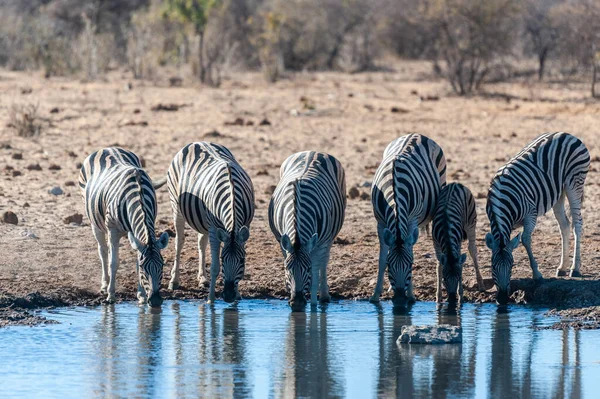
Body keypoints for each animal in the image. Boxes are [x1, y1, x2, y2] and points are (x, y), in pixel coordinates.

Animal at [78, 148, 170, 308]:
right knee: (103, 251)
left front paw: (141, 295)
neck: (138, 196)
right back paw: (104, 285)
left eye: (162, 265)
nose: (156, 301)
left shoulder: (138, 233)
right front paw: (111, 296)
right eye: (144, 268)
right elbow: (113, 263)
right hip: (95, 223)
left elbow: (135, 261)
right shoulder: (113, 230)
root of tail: (108, 148)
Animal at [166, 143, 255, 304]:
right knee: (179, 242)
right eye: (223, 259)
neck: (232, 193)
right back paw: (174, 281)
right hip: (176, 206)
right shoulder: (214, 228)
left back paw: (202, 279)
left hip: (202, 220)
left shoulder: (246, 225)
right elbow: (215, 267)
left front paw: (237, 295)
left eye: (242, 260)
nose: (228, 296)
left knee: (201, 243)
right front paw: (211, 300)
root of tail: (196, 142)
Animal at [268, 152, 346, 310]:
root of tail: (314, 151)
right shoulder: (282, 241)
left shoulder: (320, 244)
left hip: (329, 237)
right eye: (286, 268)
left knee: (324, 262)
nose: (297, 303)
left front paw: (314, 307)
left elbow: (315, 274)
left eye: (308, 269)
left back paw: (324, 295)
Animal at [368, 134, 448, 306]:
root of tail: (416, 134)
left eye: (411, 265)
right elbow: (381, 258)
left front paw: (411, 295)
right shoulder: (380, 222)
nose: (399, 298)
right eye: (390, 264)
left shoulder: (411, 221)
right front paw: (376, 295)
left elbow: (410, 250)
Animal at [486, 133, 588, 304]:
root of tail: (567, 134)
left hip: (574, 184)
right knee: (565, 225)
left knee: (577, 224)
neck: (501, 199)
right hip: (558, 192)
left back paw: (575, 268)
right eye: (492, 267)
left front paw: (537, 274)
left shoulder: (531, 215)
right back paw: (562, 267)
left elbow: (525, 239)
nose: (502, 299)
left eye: (512, 265)